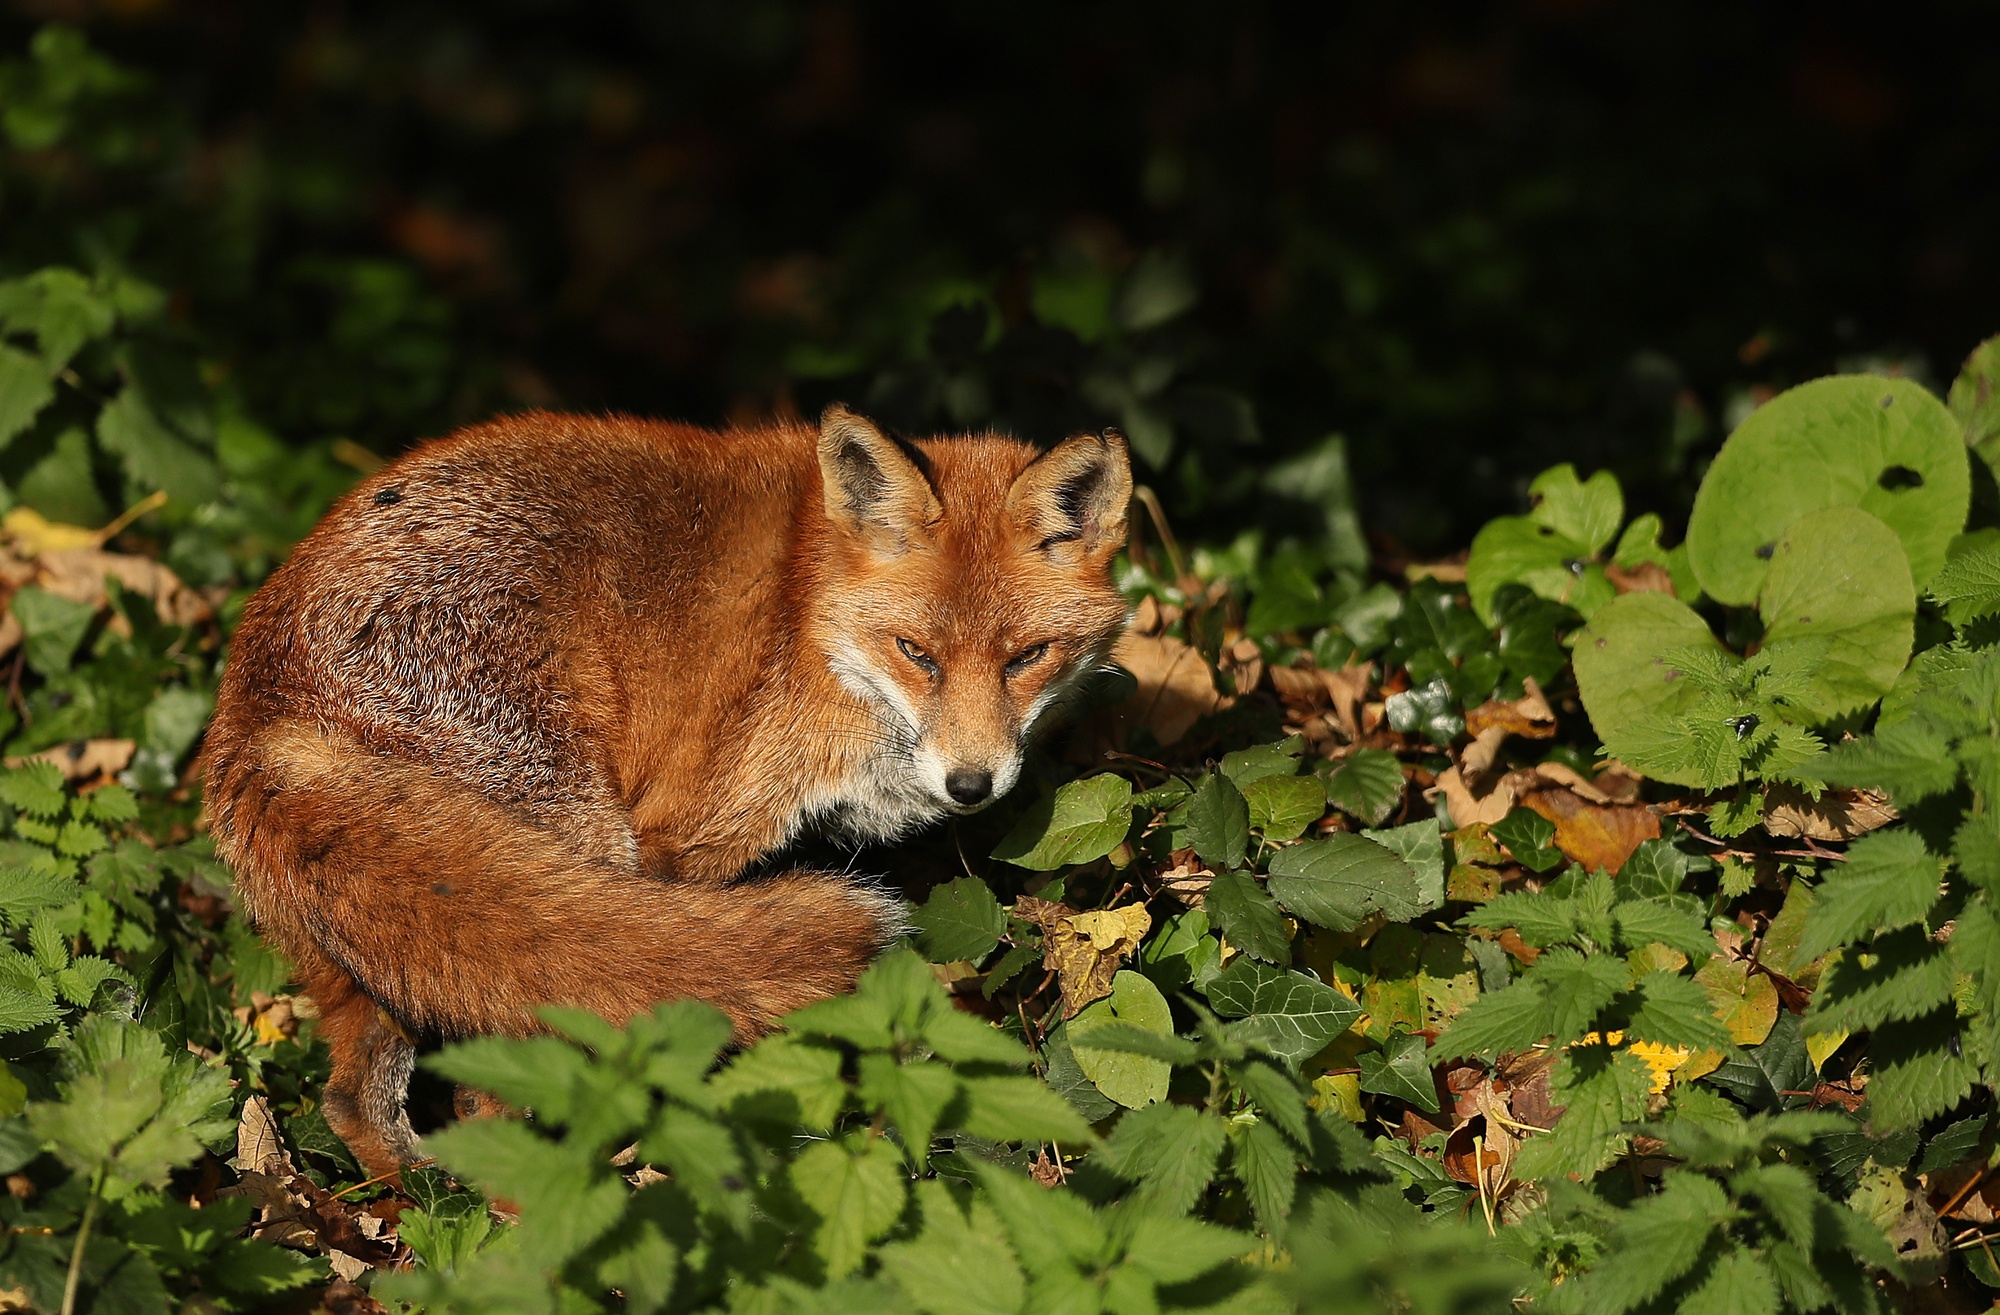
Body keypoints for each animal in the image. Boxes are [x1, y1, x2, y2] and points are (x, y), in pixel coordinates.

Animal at [200, 405, 1132, 1177]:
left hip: (391, 940)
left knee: (350, 1101)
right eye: (917, 653)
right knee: (487, 1090)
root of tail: (263, 697)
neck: (813, 616)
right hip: (574, 843)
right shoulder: (685, 835)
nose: (971, 784)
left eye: (1027, 657)